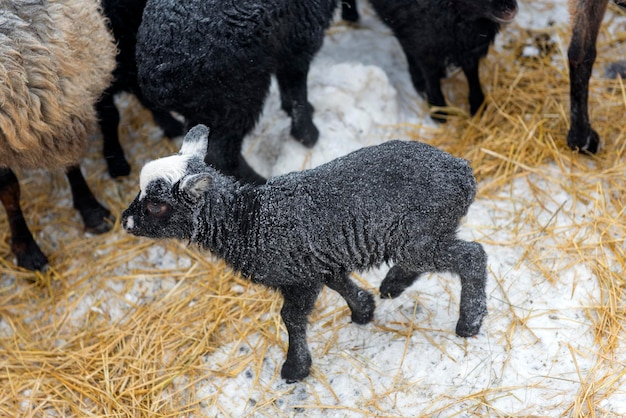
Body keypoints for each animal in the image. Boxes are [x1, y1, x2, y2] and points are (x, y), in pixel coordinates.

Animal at [122, 124, 488, 382]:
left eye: (155, 206)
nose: (125, 221)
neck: (248, 220)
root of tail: (463, 171)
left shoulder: (298, 278)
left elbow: (292, 319)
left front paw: (295, 368)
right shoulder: (320, 261)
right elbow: (340, 283)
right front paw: (363, 310)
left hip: (419, 235)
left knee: (472, 256)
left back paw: (469, 321)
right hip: (425, 233)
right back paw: (392, 285)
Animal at [135, 0, 338, 184]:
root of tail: (156, 76)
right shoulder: (300, 38)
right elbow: (297, 93)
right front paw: (309, 136)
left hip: (207, 110)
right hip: (236, 97)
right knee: (222, 156)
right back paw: (257, 182)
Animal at [370, 0, 516, 121]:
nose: (511, 9)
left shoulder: (470, 44)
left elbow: (471, 71)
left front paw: (478, 105)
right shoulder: (423, 37)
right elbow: (430, 74)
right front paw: (438, 110)